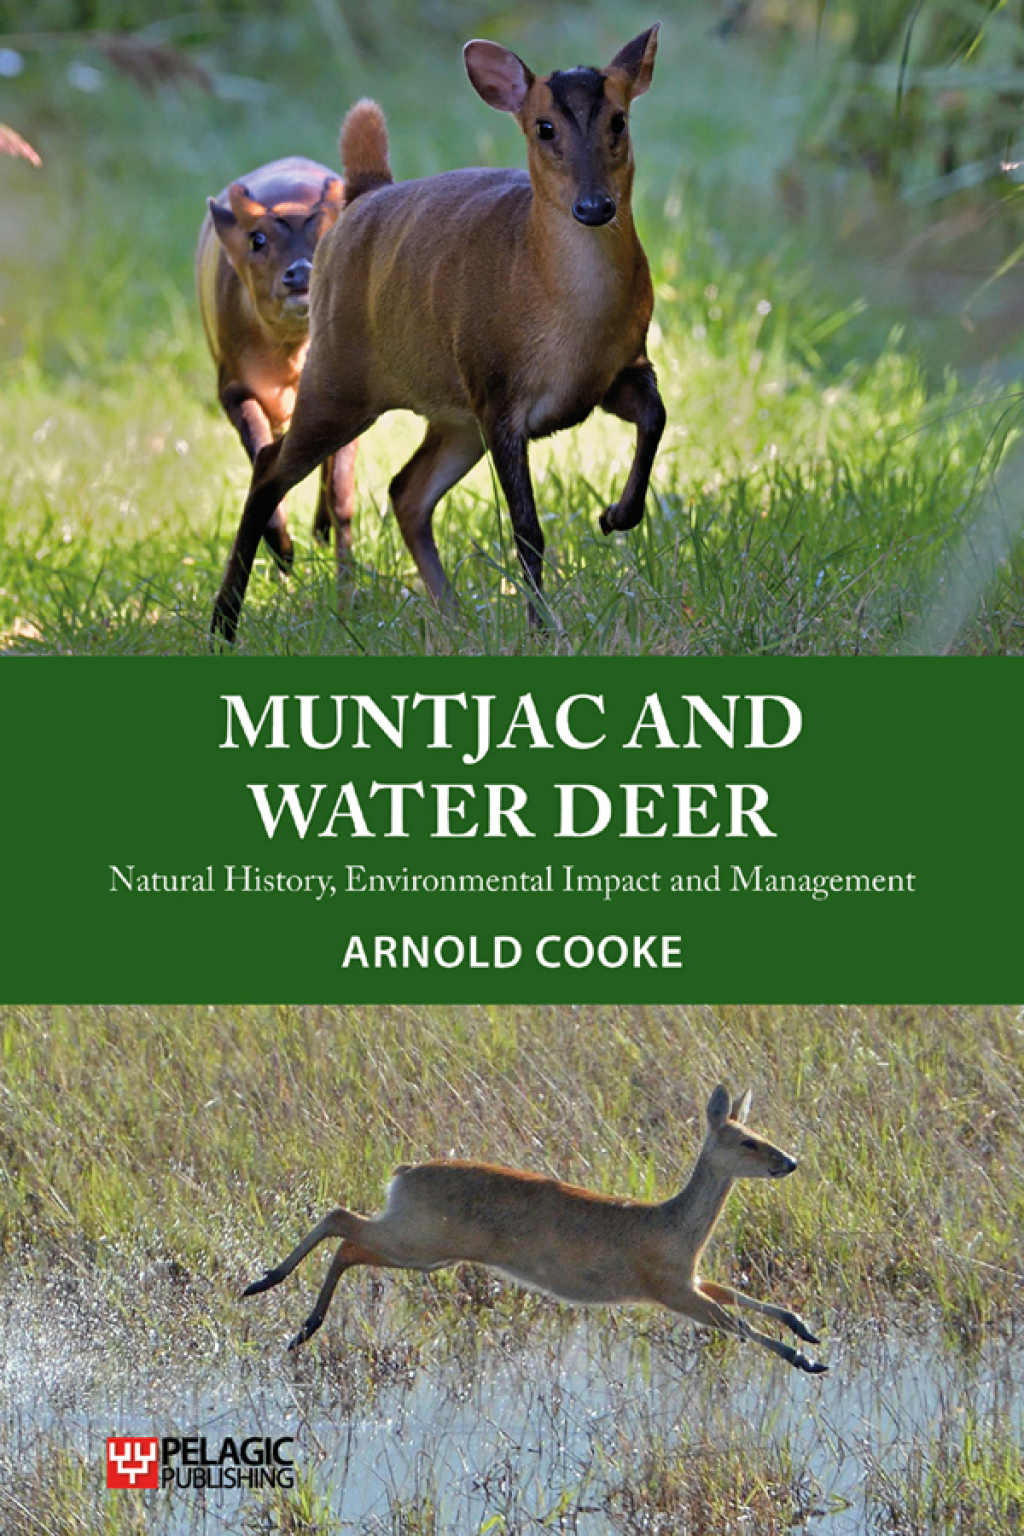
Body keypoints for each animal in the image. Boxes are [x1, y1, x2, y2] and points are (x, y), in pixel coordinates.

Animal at [197, 157, 357, 585]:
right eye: (258, 239)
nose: (300, 273)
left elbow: (341, 490)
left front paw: (348, 582)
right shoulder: (232, 385)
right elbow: (261, 459)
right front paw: (284, 554)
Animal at [243, 1084, 827, 1375]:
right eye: (747, 1140)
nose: (790, 1162)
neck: (675, 1224)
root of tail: (403, 1172)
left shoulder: (691, 1280)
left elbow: (745, 1299)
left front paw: (804, 1329)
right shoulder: (672, 1291)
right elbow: (738, 1324)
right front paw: (807, 1360)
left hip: (422, 1246)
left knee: (344, 1231)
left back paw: (292, 1314)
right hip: (418, 1243)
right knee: (342, 1224)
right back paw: (275, 1295)